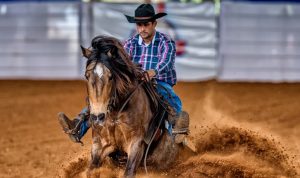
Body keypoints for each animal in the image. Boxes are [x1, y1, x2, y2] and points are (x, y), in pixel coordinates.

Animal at [79, 35, 192, 177]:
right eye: (86, 76)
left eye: (110, 77)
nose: (98, 117)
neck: (115, 115)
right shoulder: (99, 143)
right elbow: (91, 169)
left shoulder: (136, 144)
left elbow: (129, 172)